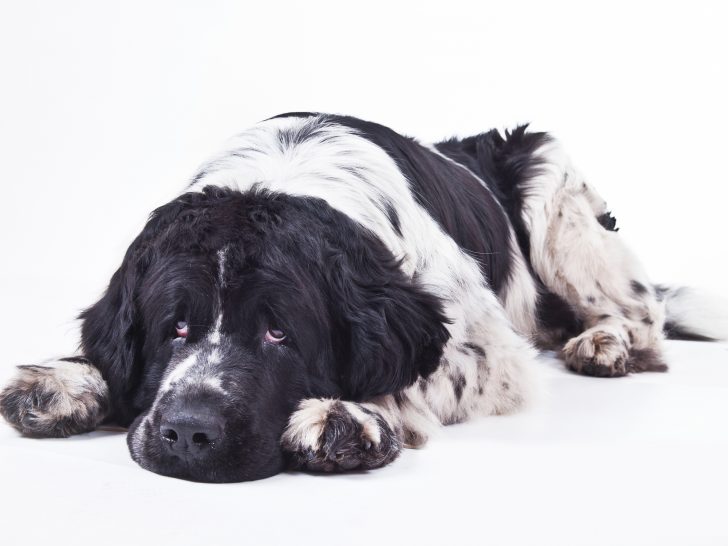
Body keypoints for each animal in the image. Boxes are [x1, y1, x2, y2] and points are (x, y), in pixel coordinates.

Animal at [2, 111, 724, 480]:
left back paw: (604, 343)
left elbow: (420, 371)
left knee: (640, 312)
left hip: (553, 189)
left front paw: (352, 418)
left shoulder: (488, 350)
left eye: (279, 332)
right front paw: (64, 381)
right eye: (172, 328)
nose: (188, 432)